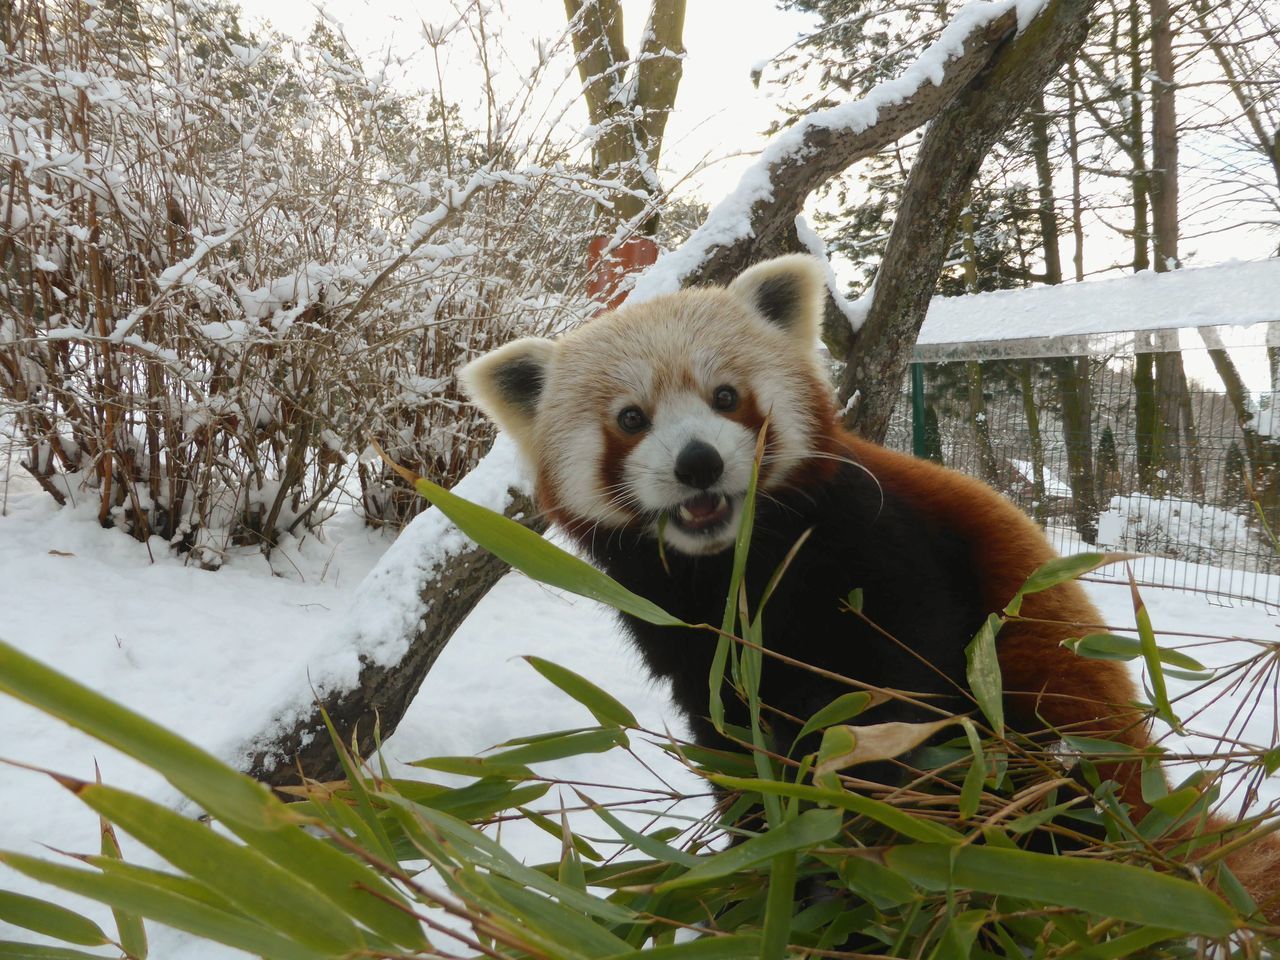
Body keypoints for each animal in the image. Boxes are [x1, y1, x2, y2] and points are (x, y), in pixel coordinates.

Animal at [460, 252, 1280, 921]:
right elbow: (734, 743)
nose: (697, 463)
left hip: (1065, 738)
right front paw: (770, 861)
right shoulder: (690, 638)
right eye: (631, 418)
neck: (739, 569)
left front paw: (872, 823)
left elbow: (904, 695)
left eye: (725, 397)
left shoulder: (887, 553)